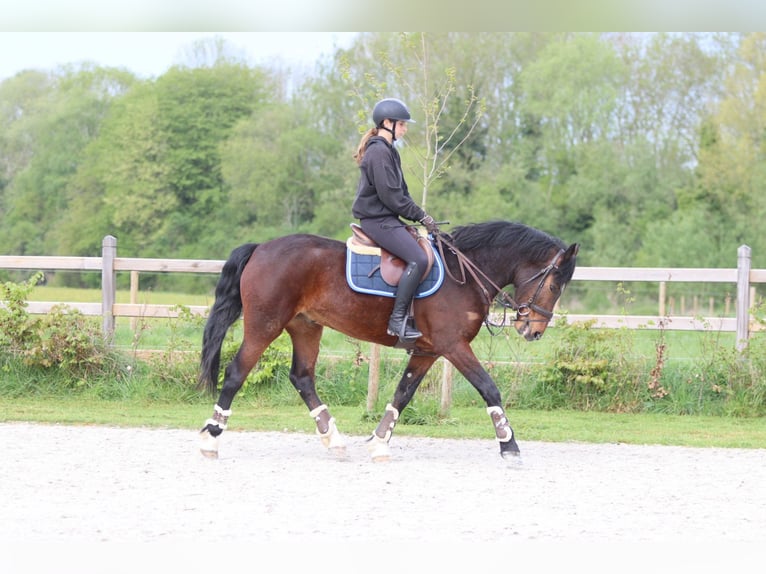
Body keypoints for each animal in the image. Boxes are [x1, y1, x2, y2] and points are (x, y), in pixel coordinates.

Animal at [198, 220, 579, 461]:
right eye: (553, 285)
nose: (533, 331)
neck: (466, 273)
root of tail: (262, 247)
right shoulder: (454, 346)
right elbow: (489, 388)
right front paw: (509, 445)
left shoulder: (427, 351)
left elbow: (403, 394)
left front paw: (380, 442)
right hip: (265, 325)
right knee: (236, 373)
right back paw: (211, 438)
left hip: (306, 327)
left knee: (302, 377)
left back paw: (334, 440)